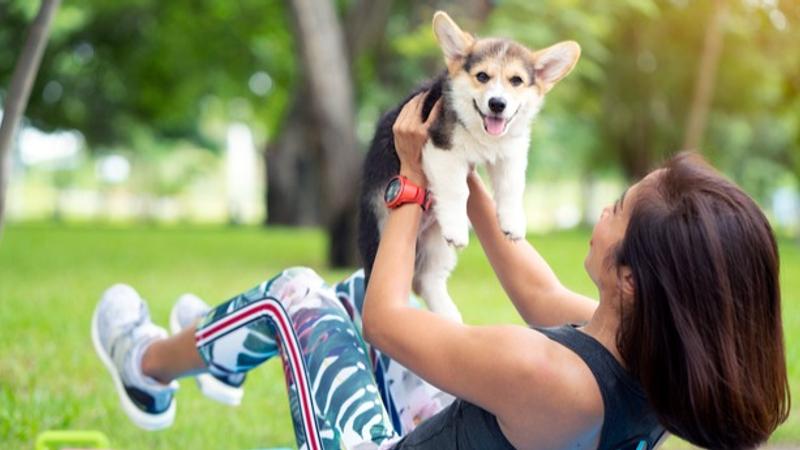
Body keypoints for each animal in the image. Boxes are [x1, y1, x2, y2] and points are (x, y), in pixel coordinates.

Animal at [358, 11, 580, 324]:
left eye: (516, 81)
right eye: (482, 77)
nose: (497, 104)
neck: (480, 131)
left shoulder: (510, 154)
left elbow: (512, 188)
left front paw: (513, 223)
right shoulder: (441, 149)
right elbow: (456, 190)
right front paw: (458, 227)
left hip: (434, 243)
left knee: (426, 279)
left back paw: (449, 319)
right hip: (381, 228)